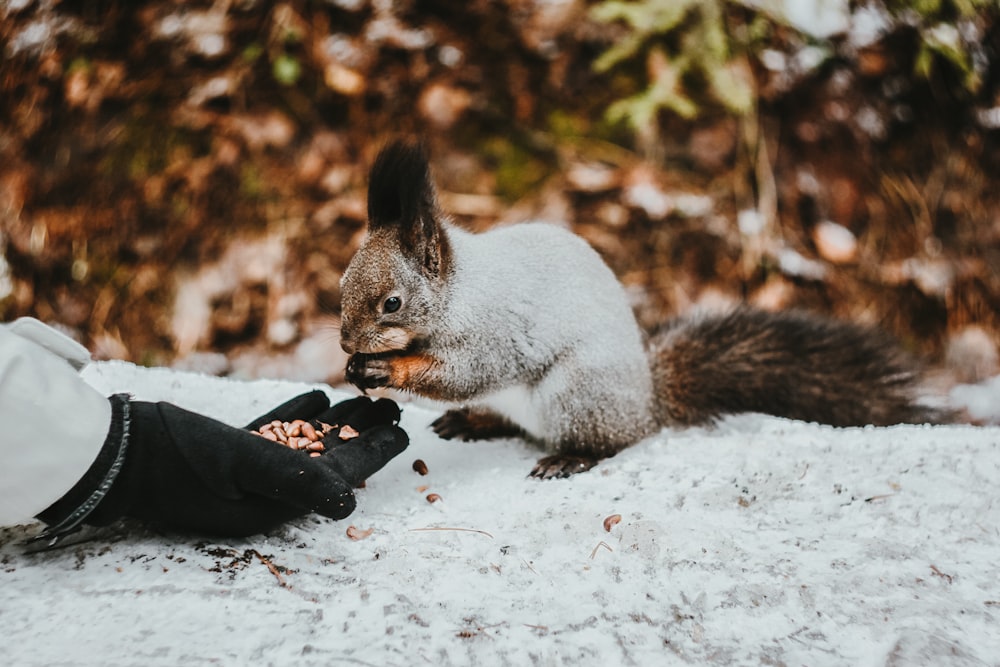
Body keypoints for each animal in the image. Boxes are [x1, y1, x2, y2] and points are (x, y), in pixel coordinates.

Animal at [340, 141, 948, 478]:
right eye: (342, 283)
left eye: (393, 302)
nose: (346, 342)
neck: (459, 291)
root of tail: (647, 404)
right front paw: (356, 368)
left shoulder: (495, 333)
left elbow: (466, 373)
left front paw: (387, 368)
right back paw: (474, 421)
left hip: (578, 396)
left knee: (610, 443)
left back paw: (571, 458)